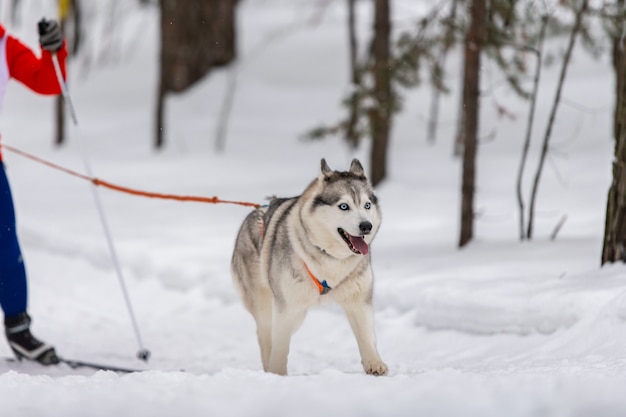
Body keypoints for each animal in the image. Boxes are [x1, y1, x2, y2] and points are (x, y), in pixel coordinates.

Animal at [230, 158, 386, 376]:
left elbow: (367, 336)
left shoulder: (359, 300)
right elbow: (280, 346)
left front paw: (374, 363)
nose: (366, 226)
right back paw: (269, 369)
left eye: (367, 205)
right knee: (266, 335)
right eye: (344, 206)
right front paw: (277, 373)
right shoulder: (286, 307)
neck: (330, 258)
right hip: (268, 306)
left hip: (297, 314)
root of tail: (255, 211)